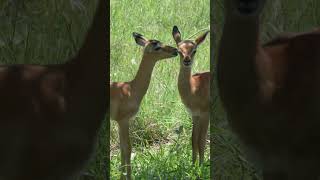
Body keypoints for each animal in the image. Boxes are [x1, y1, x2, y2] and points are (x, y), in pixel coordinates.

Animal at [110, 33, 178, 179]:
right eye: (157, 47)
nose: (175, 50)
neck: (131, 89)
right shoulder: (123, 120)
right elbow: (127, 148)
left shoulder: (121, 122)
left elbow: (122, 148)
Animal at [172, 25, 210, 166]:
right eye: (179, 50)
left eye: (194, 50)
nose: (187, 60)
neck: (194, 88)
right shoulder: (195, 115)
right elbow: (193, 140)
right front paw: (193, 165)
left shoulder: (205, 115)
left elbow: (201, 141)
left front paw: (201, 166)